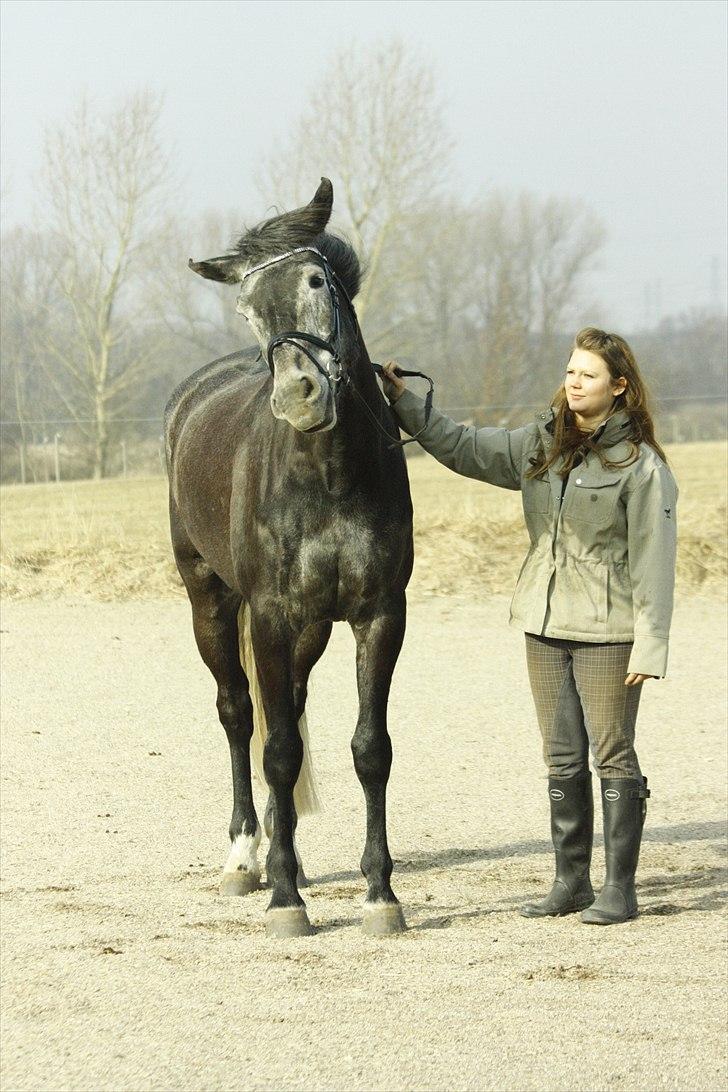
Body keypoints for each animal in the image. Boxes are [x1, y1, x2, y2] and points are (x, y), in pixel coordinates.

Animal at [163, 179, 414, 939]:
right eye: (247, 306)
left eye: (316, 281)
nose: (299, 396)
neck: (328, 475)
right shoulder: (270, 615)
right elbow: (275, 750)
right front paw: (284, 902)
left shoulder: (379, 615)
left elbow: (370, 749)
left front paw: (379, 894)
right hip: (210, 602)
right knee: (240, 714)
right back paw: (249, 859)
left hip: (309, 630)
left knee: (288, 708)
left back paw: (289, 859)